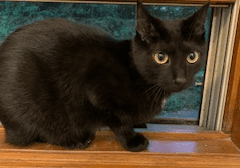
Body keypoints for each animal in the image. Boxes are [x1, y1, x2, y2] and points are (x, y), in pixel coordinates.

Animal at [0, 0, 208, 152]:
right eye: (161, 57)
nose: (180, 79)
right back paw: (74, 140)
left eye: (192, 57)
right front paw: (132, 140)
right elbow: (119, 120)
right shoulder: (96, 92)